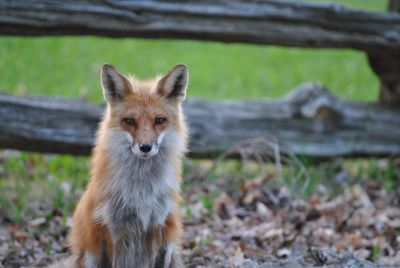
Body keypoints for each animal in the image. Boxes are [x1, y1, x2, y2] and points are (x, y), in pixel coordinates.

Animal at [55, 63, 189, 266]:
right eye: (130, 121)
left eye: (159, 120)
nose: (145, 147)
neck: (141, 192)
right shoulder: (108, 228)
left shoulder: (160, 226)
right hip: (89, 257)